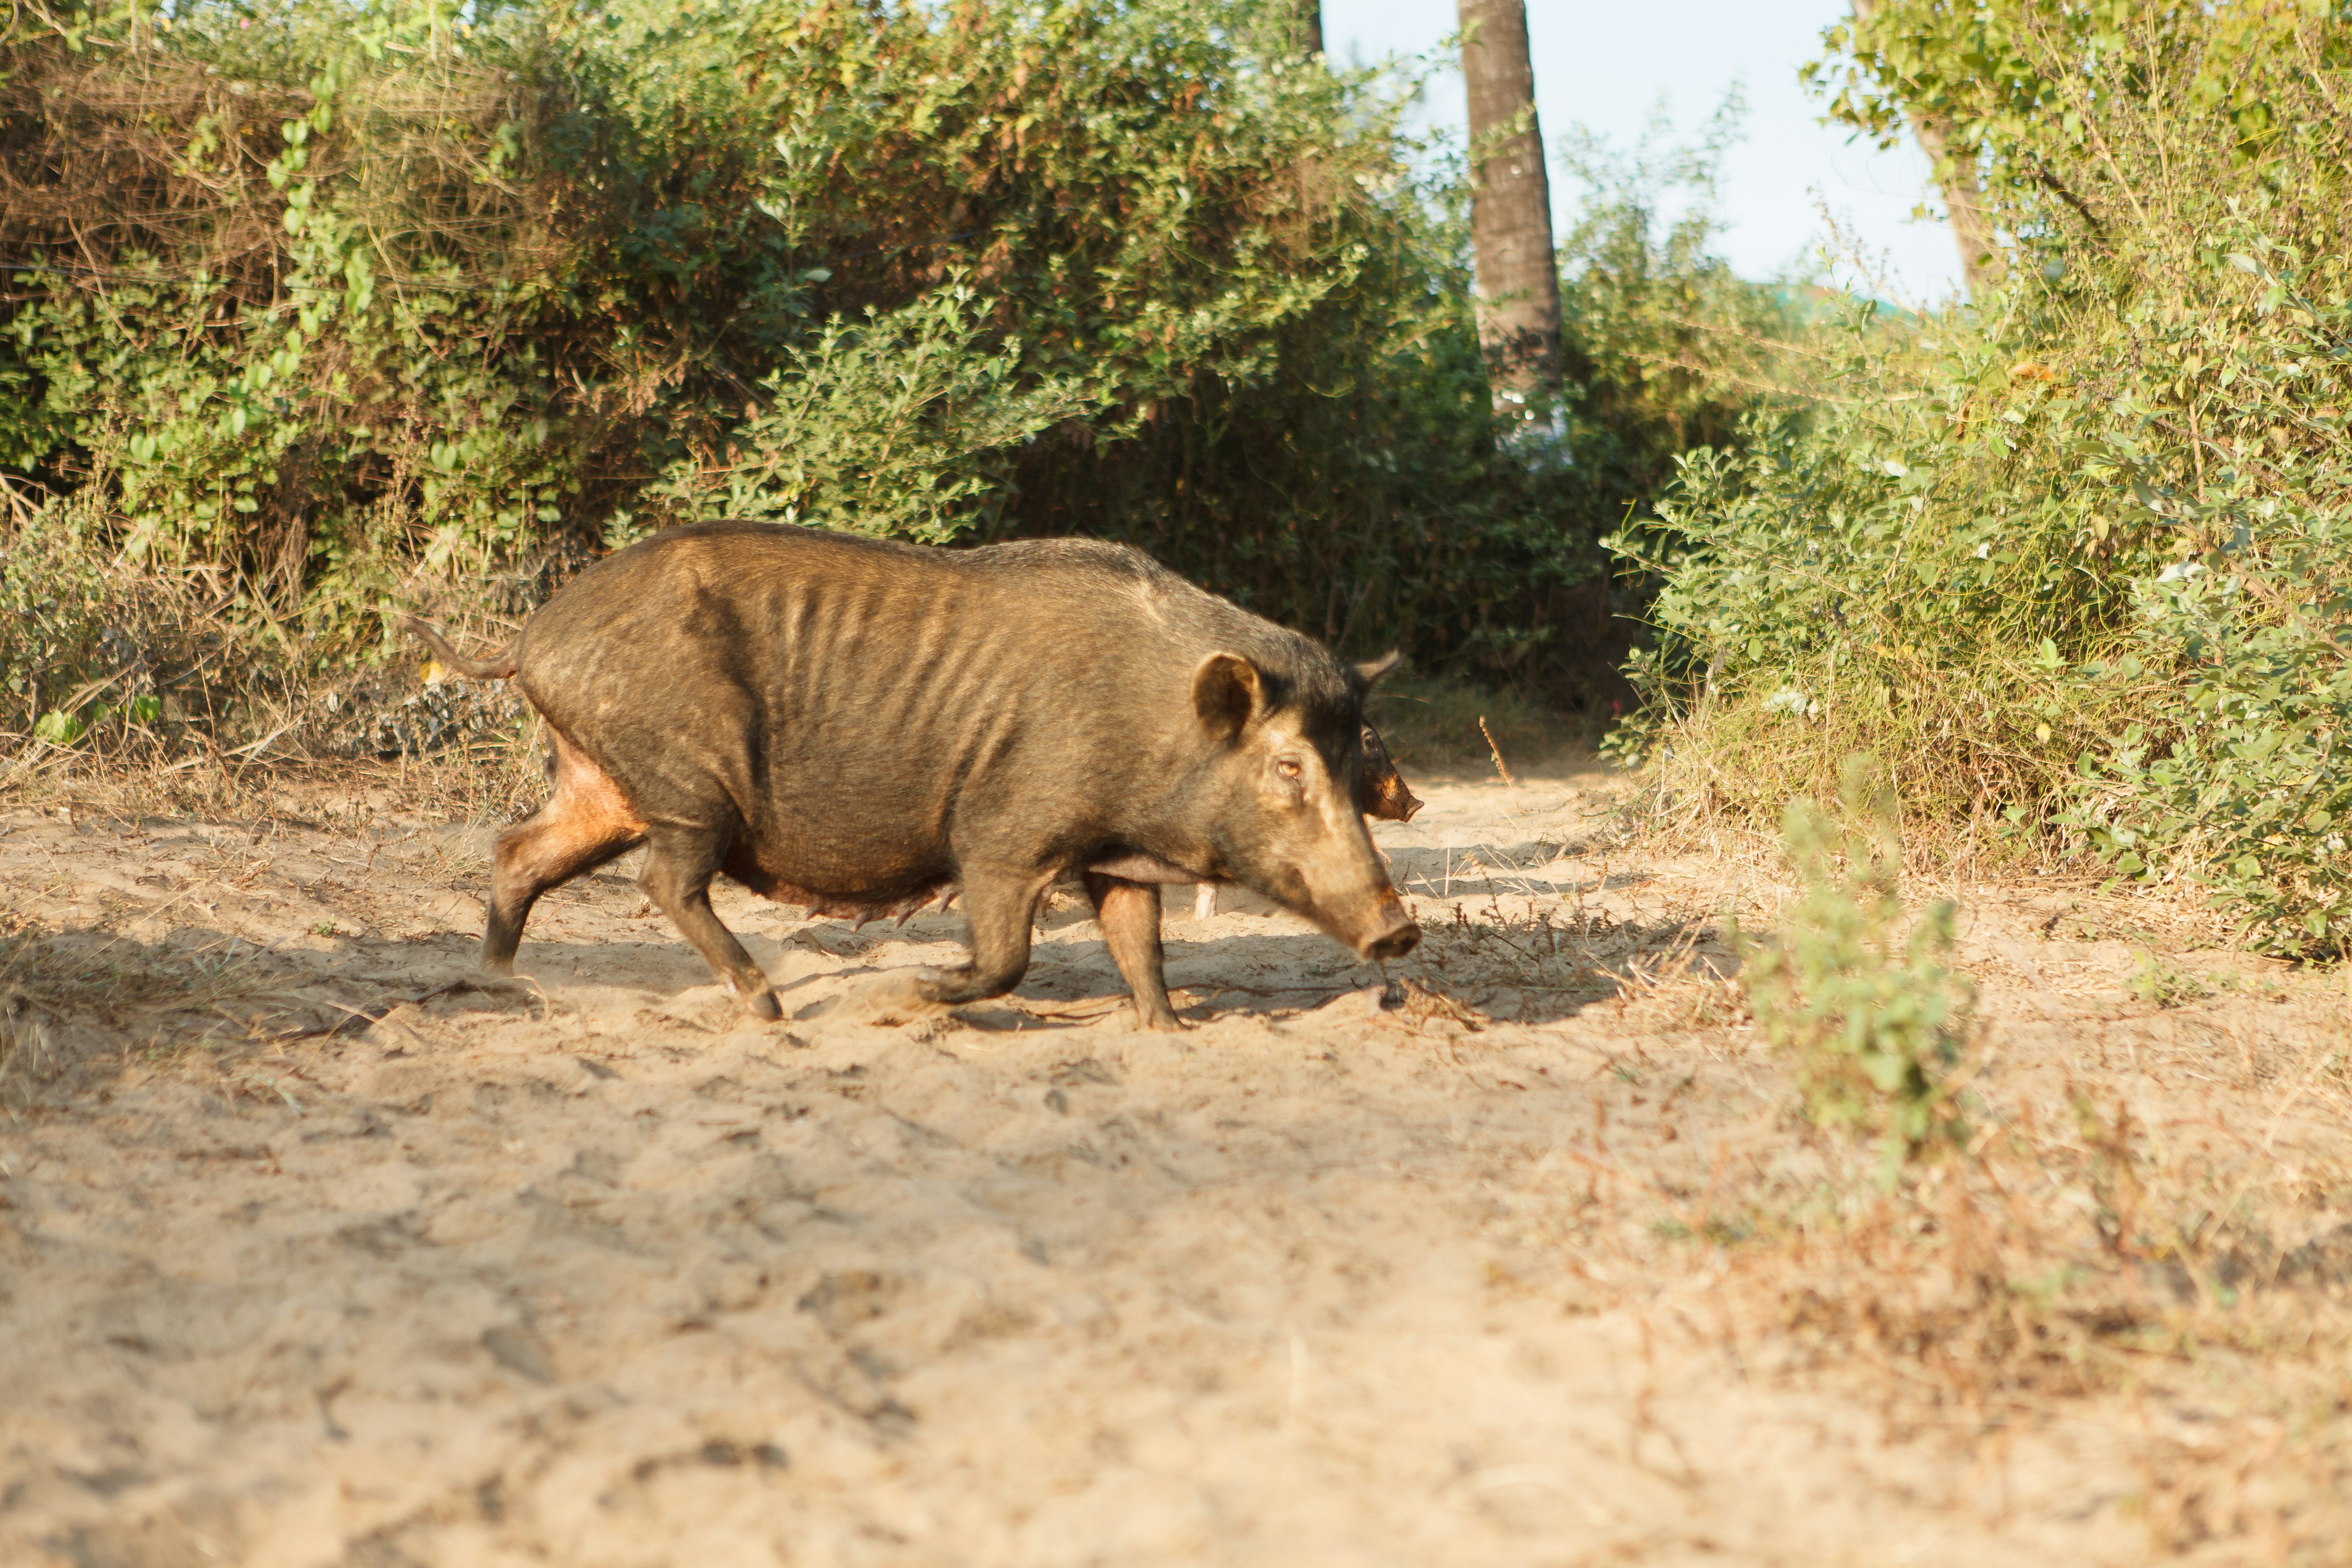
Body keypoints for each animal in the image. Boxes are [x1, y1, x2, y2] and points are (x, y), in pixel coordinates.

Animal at [405, 520, 1421, 1030]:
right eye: (1287, 764)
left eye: (1355, 751)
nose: (1400, 929)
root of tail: (531, 637)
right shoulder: (1002, 834)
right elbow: (1008, 957)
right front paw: (913, 993)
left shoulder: (1110, 855)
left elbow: (1141, 947)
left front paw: (1168, 1035)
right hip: (687, 782)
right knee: (664, 880)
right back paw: (768, 1007)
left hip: (603, 784)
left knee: (519, 852)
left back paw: (497, 984)